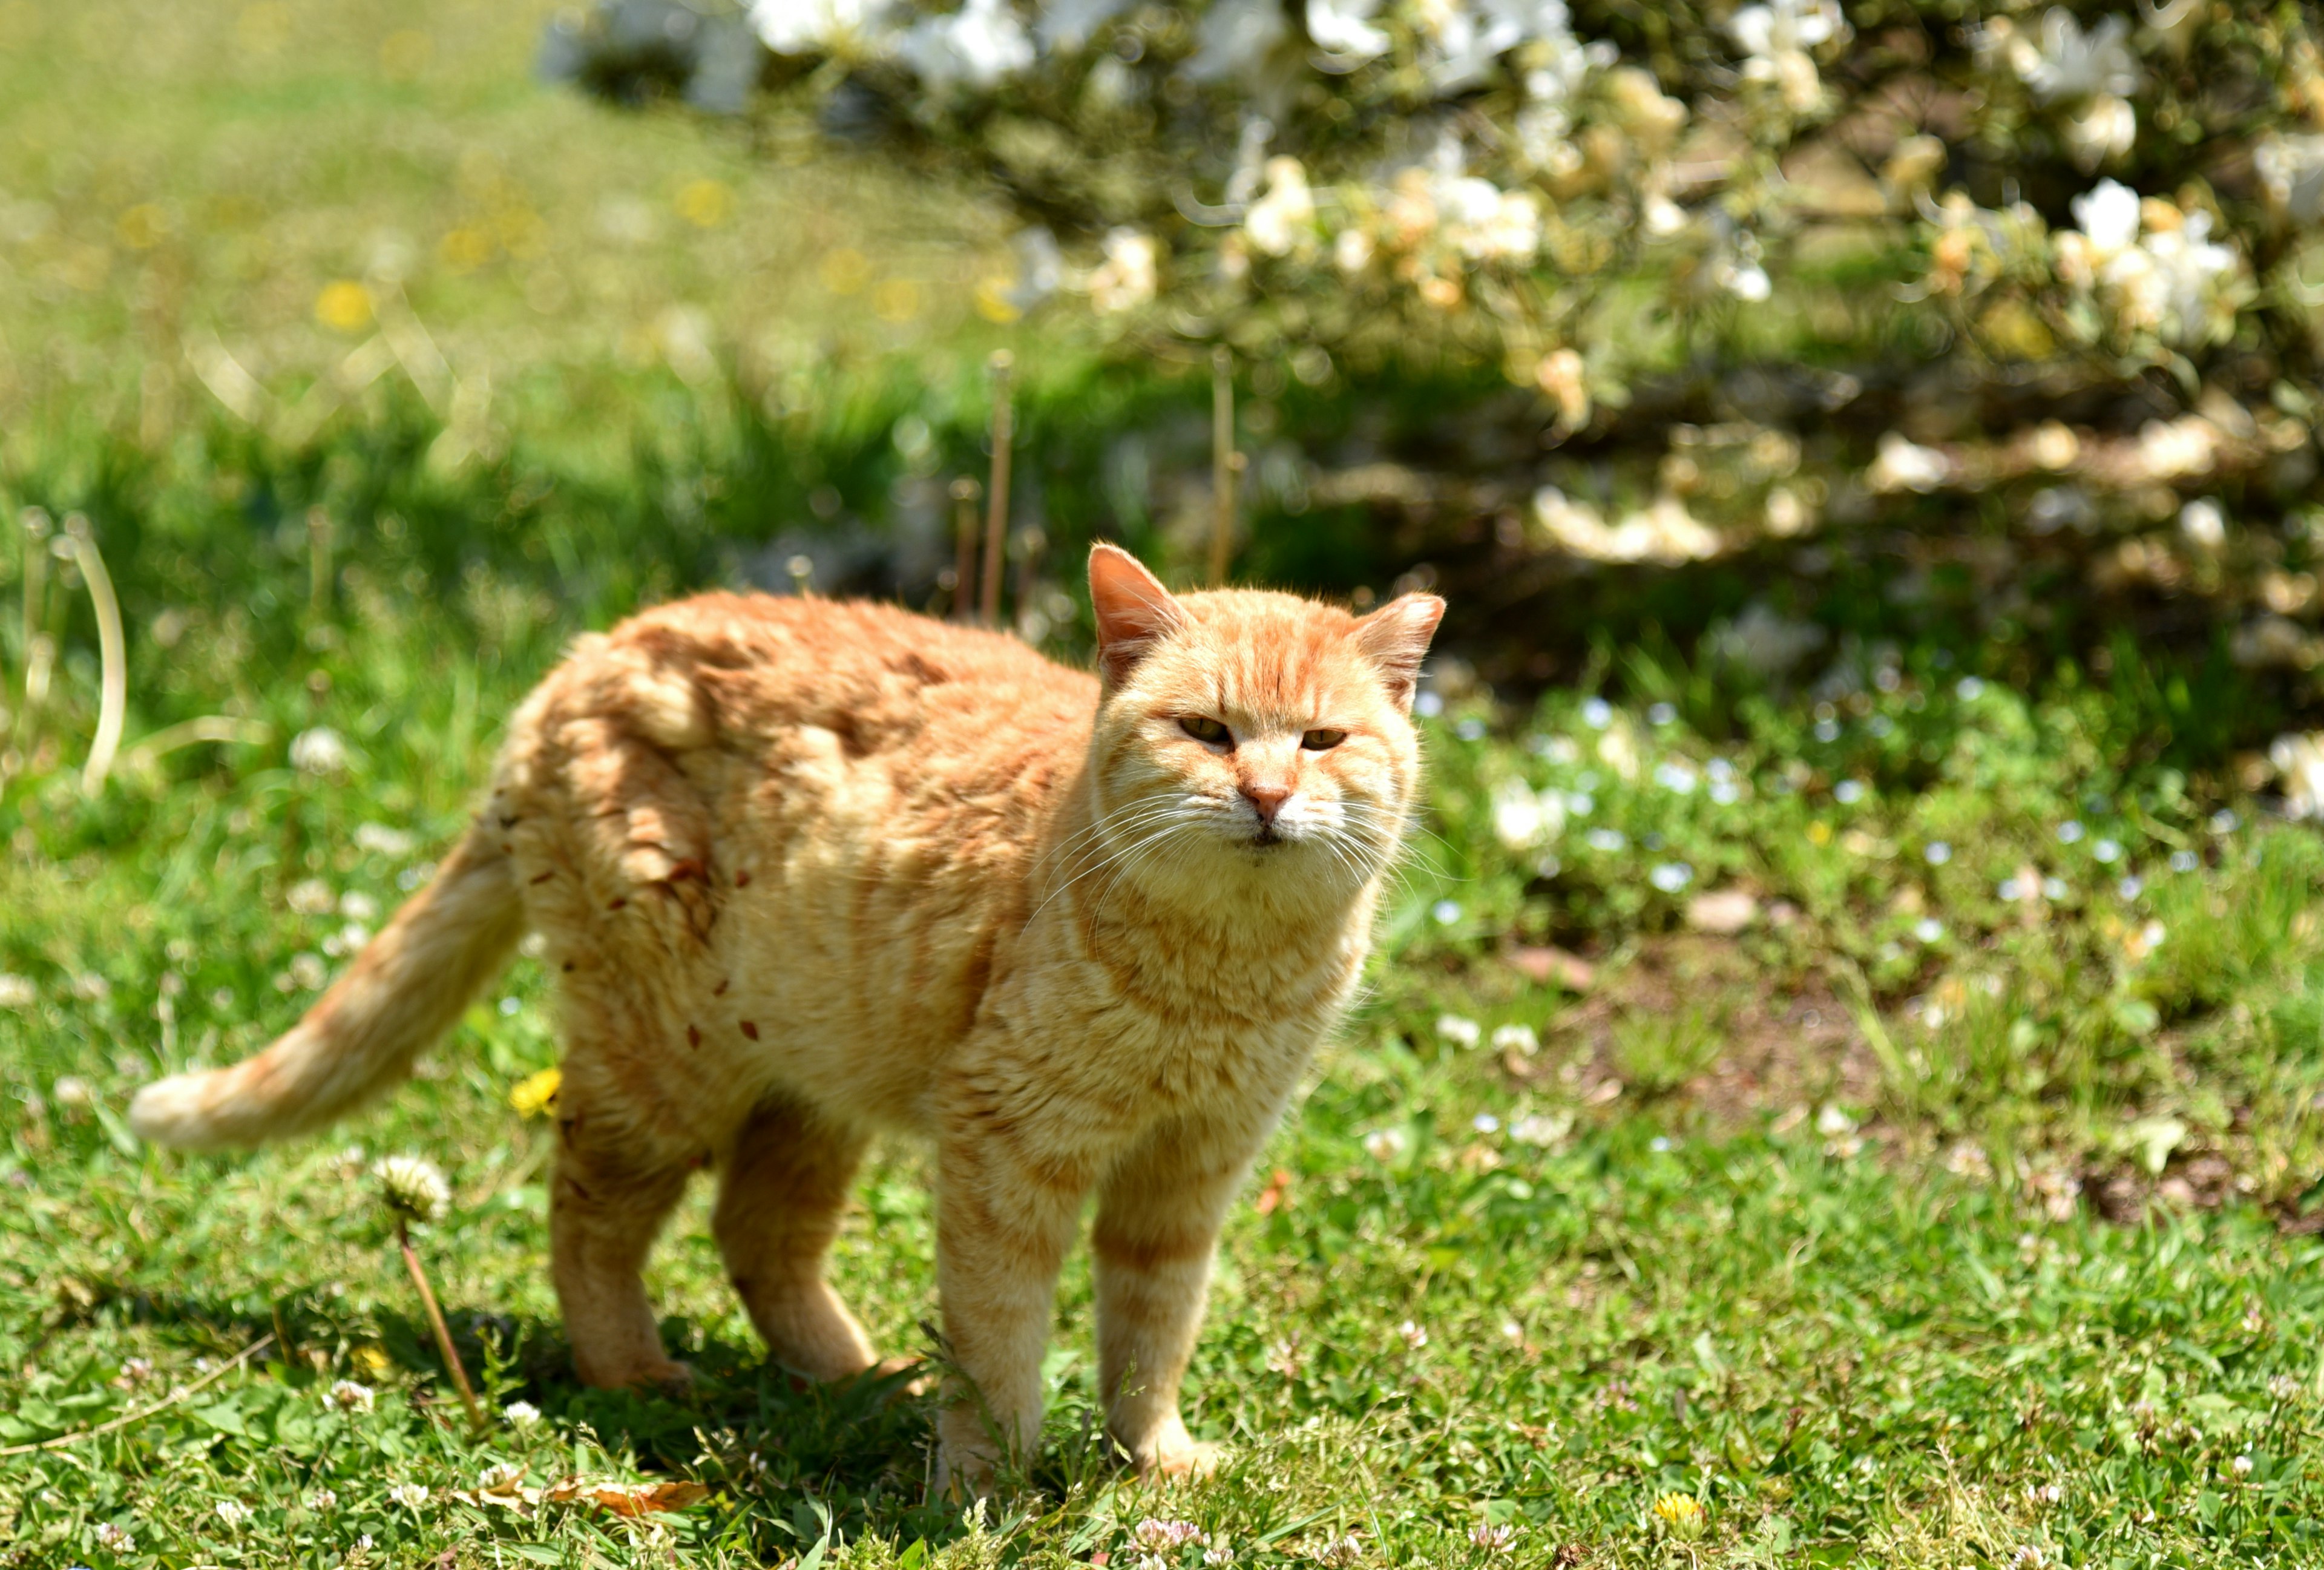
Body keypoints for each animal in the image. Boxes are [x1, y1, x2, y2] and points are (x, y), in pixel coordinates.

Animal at [136, 545, 1440, 1486]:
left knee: (757, 1234)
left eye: (1322, 739)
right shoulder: (1007, 1149)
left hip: (815, 1077)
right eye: (1206, 731)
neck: (1219, 973)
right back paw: (638, 1374)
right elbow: (1000, 1332)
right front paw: (990, 1482)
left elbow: (1151, 1328)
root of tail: (588, 651)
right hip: (662, 1066)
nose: (1266, 793)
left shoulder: (1191, 1172)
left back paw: (860, 1381)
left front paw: (1150, 1460)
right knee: (587, 1216)